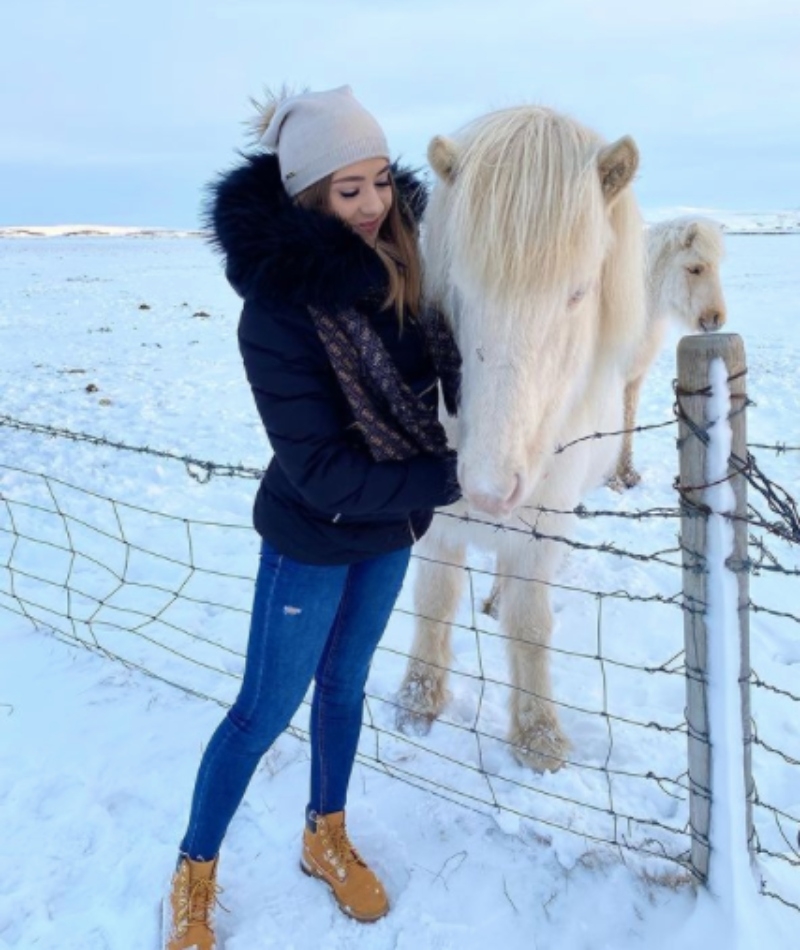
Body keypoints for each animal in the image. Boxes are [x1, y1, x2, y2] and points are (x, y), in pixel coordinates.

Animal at [396, 106, 648, 772]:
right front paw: (417, 701)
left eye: (579, 292)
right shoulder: (437, 520)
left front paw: (538, 739)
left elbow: (531, 626)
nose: (486, 489)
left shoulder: (544, 527)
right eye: (458, 286)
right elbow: (434, 600)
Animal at [612, 218, 724, 490]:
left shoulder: (634, 378)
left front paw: (627, 475)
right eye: (695, 269)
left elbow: (627, 422)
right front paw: (613, 483)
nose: (715, 319)